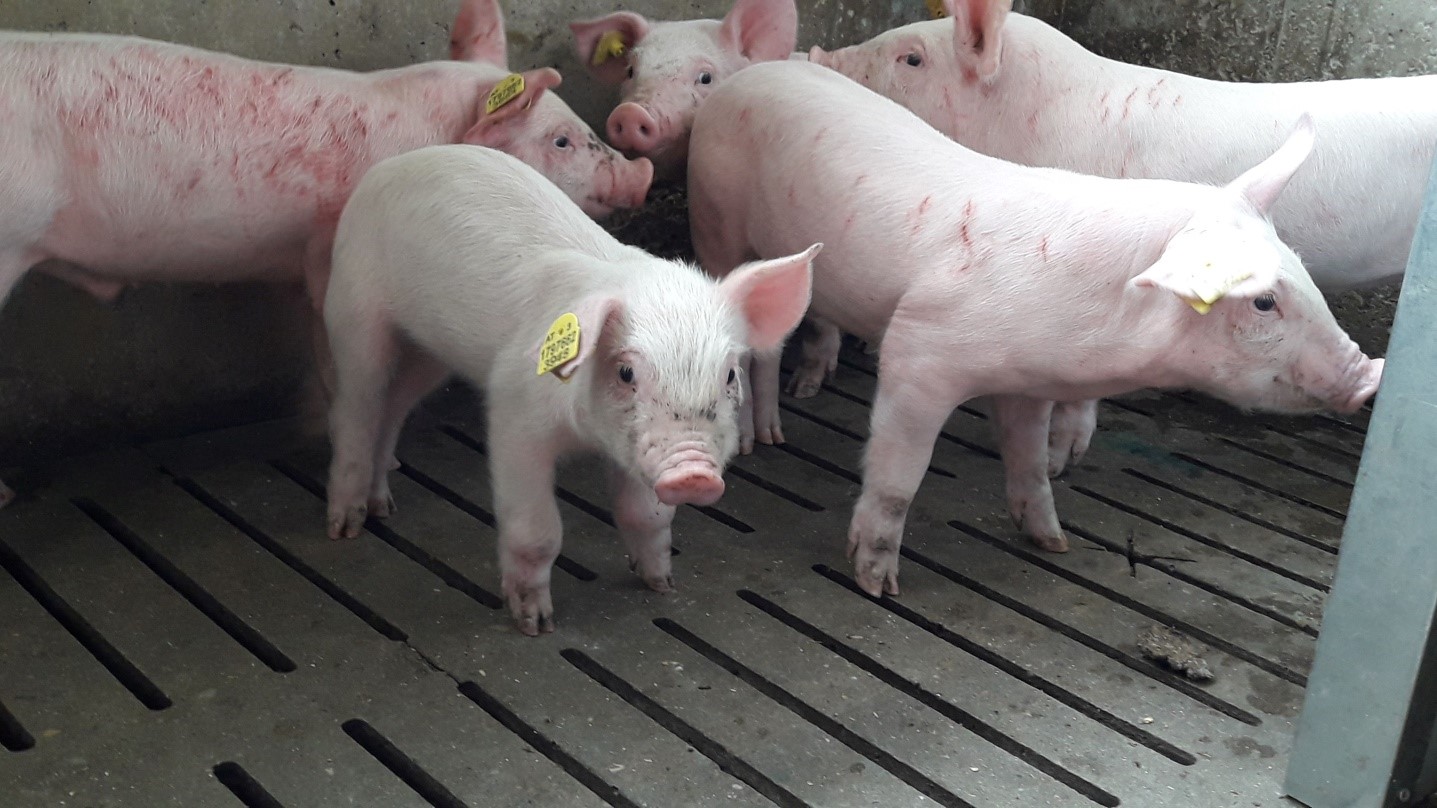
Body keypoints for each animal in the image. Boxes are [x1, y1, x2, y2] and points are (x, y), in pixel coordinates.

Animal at [327, 144, 821, 632]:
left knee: (393, 407)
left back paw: (383, 506)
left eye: (730, 375)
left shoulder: (631, 449)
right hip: (355, 307)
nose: (693, 473)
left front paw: (661, 584)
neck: (586, 437)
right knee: (356, 407)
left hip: (428, 355)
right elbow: (537, 531)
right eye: (626, 373)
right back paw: (345, 527)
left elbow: (646, 514)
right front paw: (534, 623)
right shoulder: (515, 415)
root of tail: (398, 160)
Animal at [689, 61, 1385, 592]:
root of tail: (744, 75)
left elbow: (1027, 461)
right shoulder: (920, 353)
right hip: (715, 218)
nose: (1371, 374)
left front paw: (1053, 543)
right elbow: (898, 475)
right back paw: (756, 442)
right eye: (1264, 302)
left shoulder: (1027, 382)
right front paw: (878, 584)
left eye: (1300, 270)